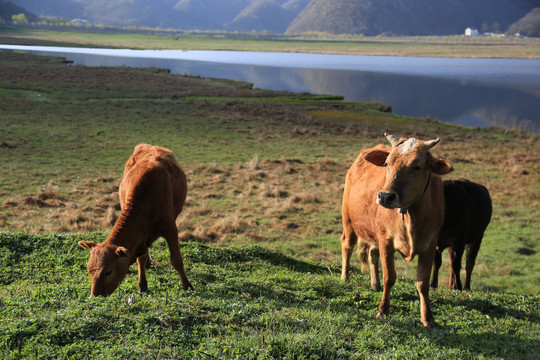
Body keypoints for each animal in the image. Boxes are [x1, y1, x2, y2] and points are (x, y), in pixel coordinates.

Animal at [78, 144, 192, 298]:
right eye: (89, 270)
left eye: (108, 272)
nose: (94, 296)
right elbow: (141, 258)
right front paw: (142, 284)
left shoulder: (170, 228)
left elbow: (176, 260)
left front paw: (187, 285)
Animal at [342, 134, 452, 328]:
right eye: (388, 163)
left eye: (416, 166)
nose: (385, 196)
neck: (411, 217)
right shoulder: (387, 240)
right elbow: (390, 277)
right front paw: (382, 310)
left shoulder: (430, 244)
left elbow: (423, 283)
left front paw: (428, 318)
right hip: (348, 219)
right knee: (347, 245)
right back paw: (345, 277)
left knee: (372, 254)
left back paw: (375, 284)